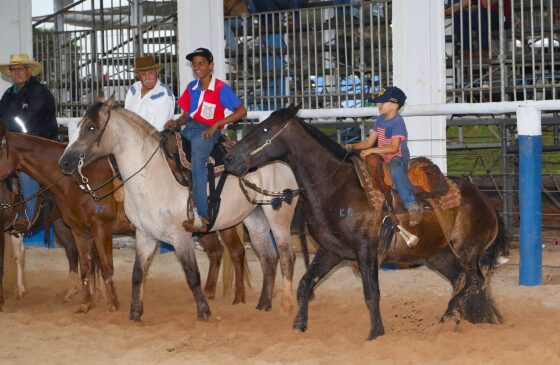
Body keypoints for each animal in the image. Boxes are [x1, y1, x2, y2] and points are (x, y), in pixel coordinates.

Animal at [0, 125, 250, 312]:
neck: (77, 182)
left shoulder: (101, 229)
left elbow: (106, 266)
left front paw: (113, 304)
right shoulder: (79, 231)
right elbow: (86, 266)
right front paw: (87, 303)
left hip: (224, 222)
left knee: (236, 252)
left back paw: (238, 298)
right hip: (203, 227)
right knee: (217, 252)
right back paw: (209, 292)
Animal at [58, 97, 300, 322]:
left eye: (91, 127)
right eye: (79, 125)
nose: (65, 163)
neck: (151, 175)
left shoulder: (180, 236)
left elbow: (192, 275)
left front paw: (204, 312)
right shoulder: (144, 235)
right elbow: (138, 273)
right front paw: (135, 313)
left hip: (278, 218)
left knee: (284, 256)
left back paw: (281, 304)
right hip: (255, 217)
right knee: (268, 258)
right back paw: (263, 304)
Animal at [225, 104, 510, 338]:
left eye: (264, 128)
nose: (230, 158)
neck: (337, 187)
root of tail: (487, 202)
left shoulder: (367, 252)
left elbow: (371, 293)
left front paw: (376, 333)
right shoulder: (330, 251)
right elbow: (306, 284)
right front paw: (299, 325)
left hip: (466, 250)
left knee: (475, 280)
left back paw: (448, 316)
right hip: (438, 255)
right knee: (460, 279)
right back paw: (457, 319)